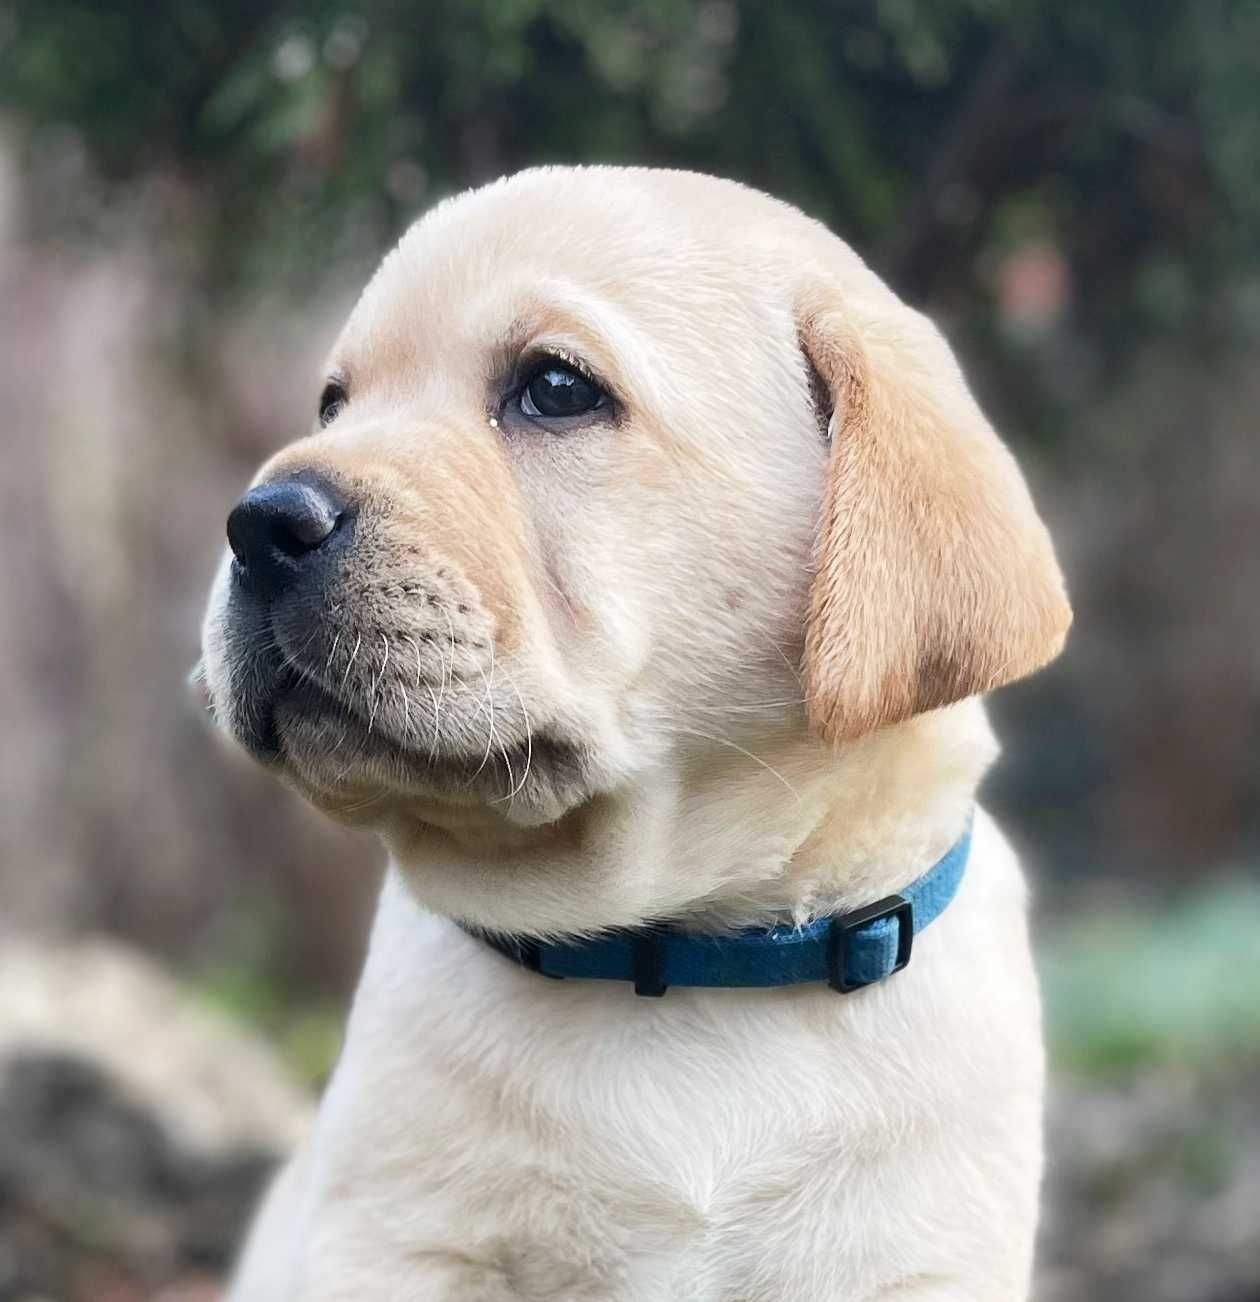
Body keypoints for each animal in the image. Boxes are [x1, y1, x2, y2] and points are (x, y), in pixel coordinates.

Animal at [199, 165, 1072, 1302]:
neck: (678, 952)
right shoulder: (395, 1241)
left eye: (556, 389)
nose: (258, 523)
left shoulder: (922, 1261)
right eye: (334, 404)